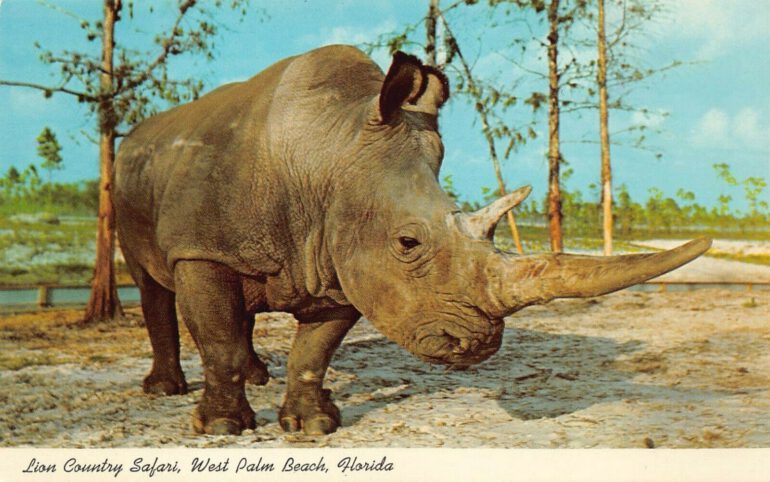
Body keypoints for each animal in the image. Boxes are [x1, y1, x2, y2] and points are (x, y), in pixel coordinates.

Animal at [114, 45, 710, 436]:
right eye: (407, 242)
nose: (477, 345)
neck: (329, 153)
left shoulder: (340, 258)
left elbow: (314, 350)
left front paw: (312, 426)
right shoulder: (202, 249)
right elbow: (216, 339)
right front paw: (221, 429)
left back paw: (259, 377)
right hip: (128, 177)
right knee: (151, 284)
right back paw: (165, 391)